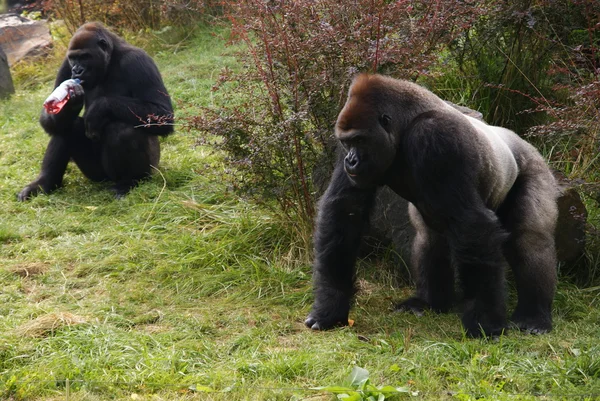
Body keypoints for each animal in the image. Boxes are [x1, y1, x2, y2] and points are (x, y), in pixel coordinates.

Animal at [18, 21, 173, 200]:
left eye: (85, 57)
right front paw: (70, 104)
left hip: (150, 168)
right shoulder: (65, 65)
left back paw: (129, 182)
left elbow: (162, 113)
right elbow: (49, 118)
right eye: (73, 58)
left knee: (122, 129)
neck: (110, 59)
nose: (77, 70)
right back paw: (44, 183)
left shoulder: (138, 60)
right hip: (95, 174)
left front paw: (100, 107)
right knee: (65, 126)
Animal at [308, 73, 560, 336]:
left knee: (528, 238)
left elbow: (471, 223)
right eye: (347, 143)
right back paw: (430, 302)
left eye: (360, 140)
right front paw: (331, 306)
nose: (351, 161)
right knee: (429, 237)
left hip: (534, 166)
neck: (404, 124)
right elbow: (345, 210)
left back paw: (533, 316)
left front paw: (485, 322)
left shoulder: (435, 136)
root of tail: (522, 141)